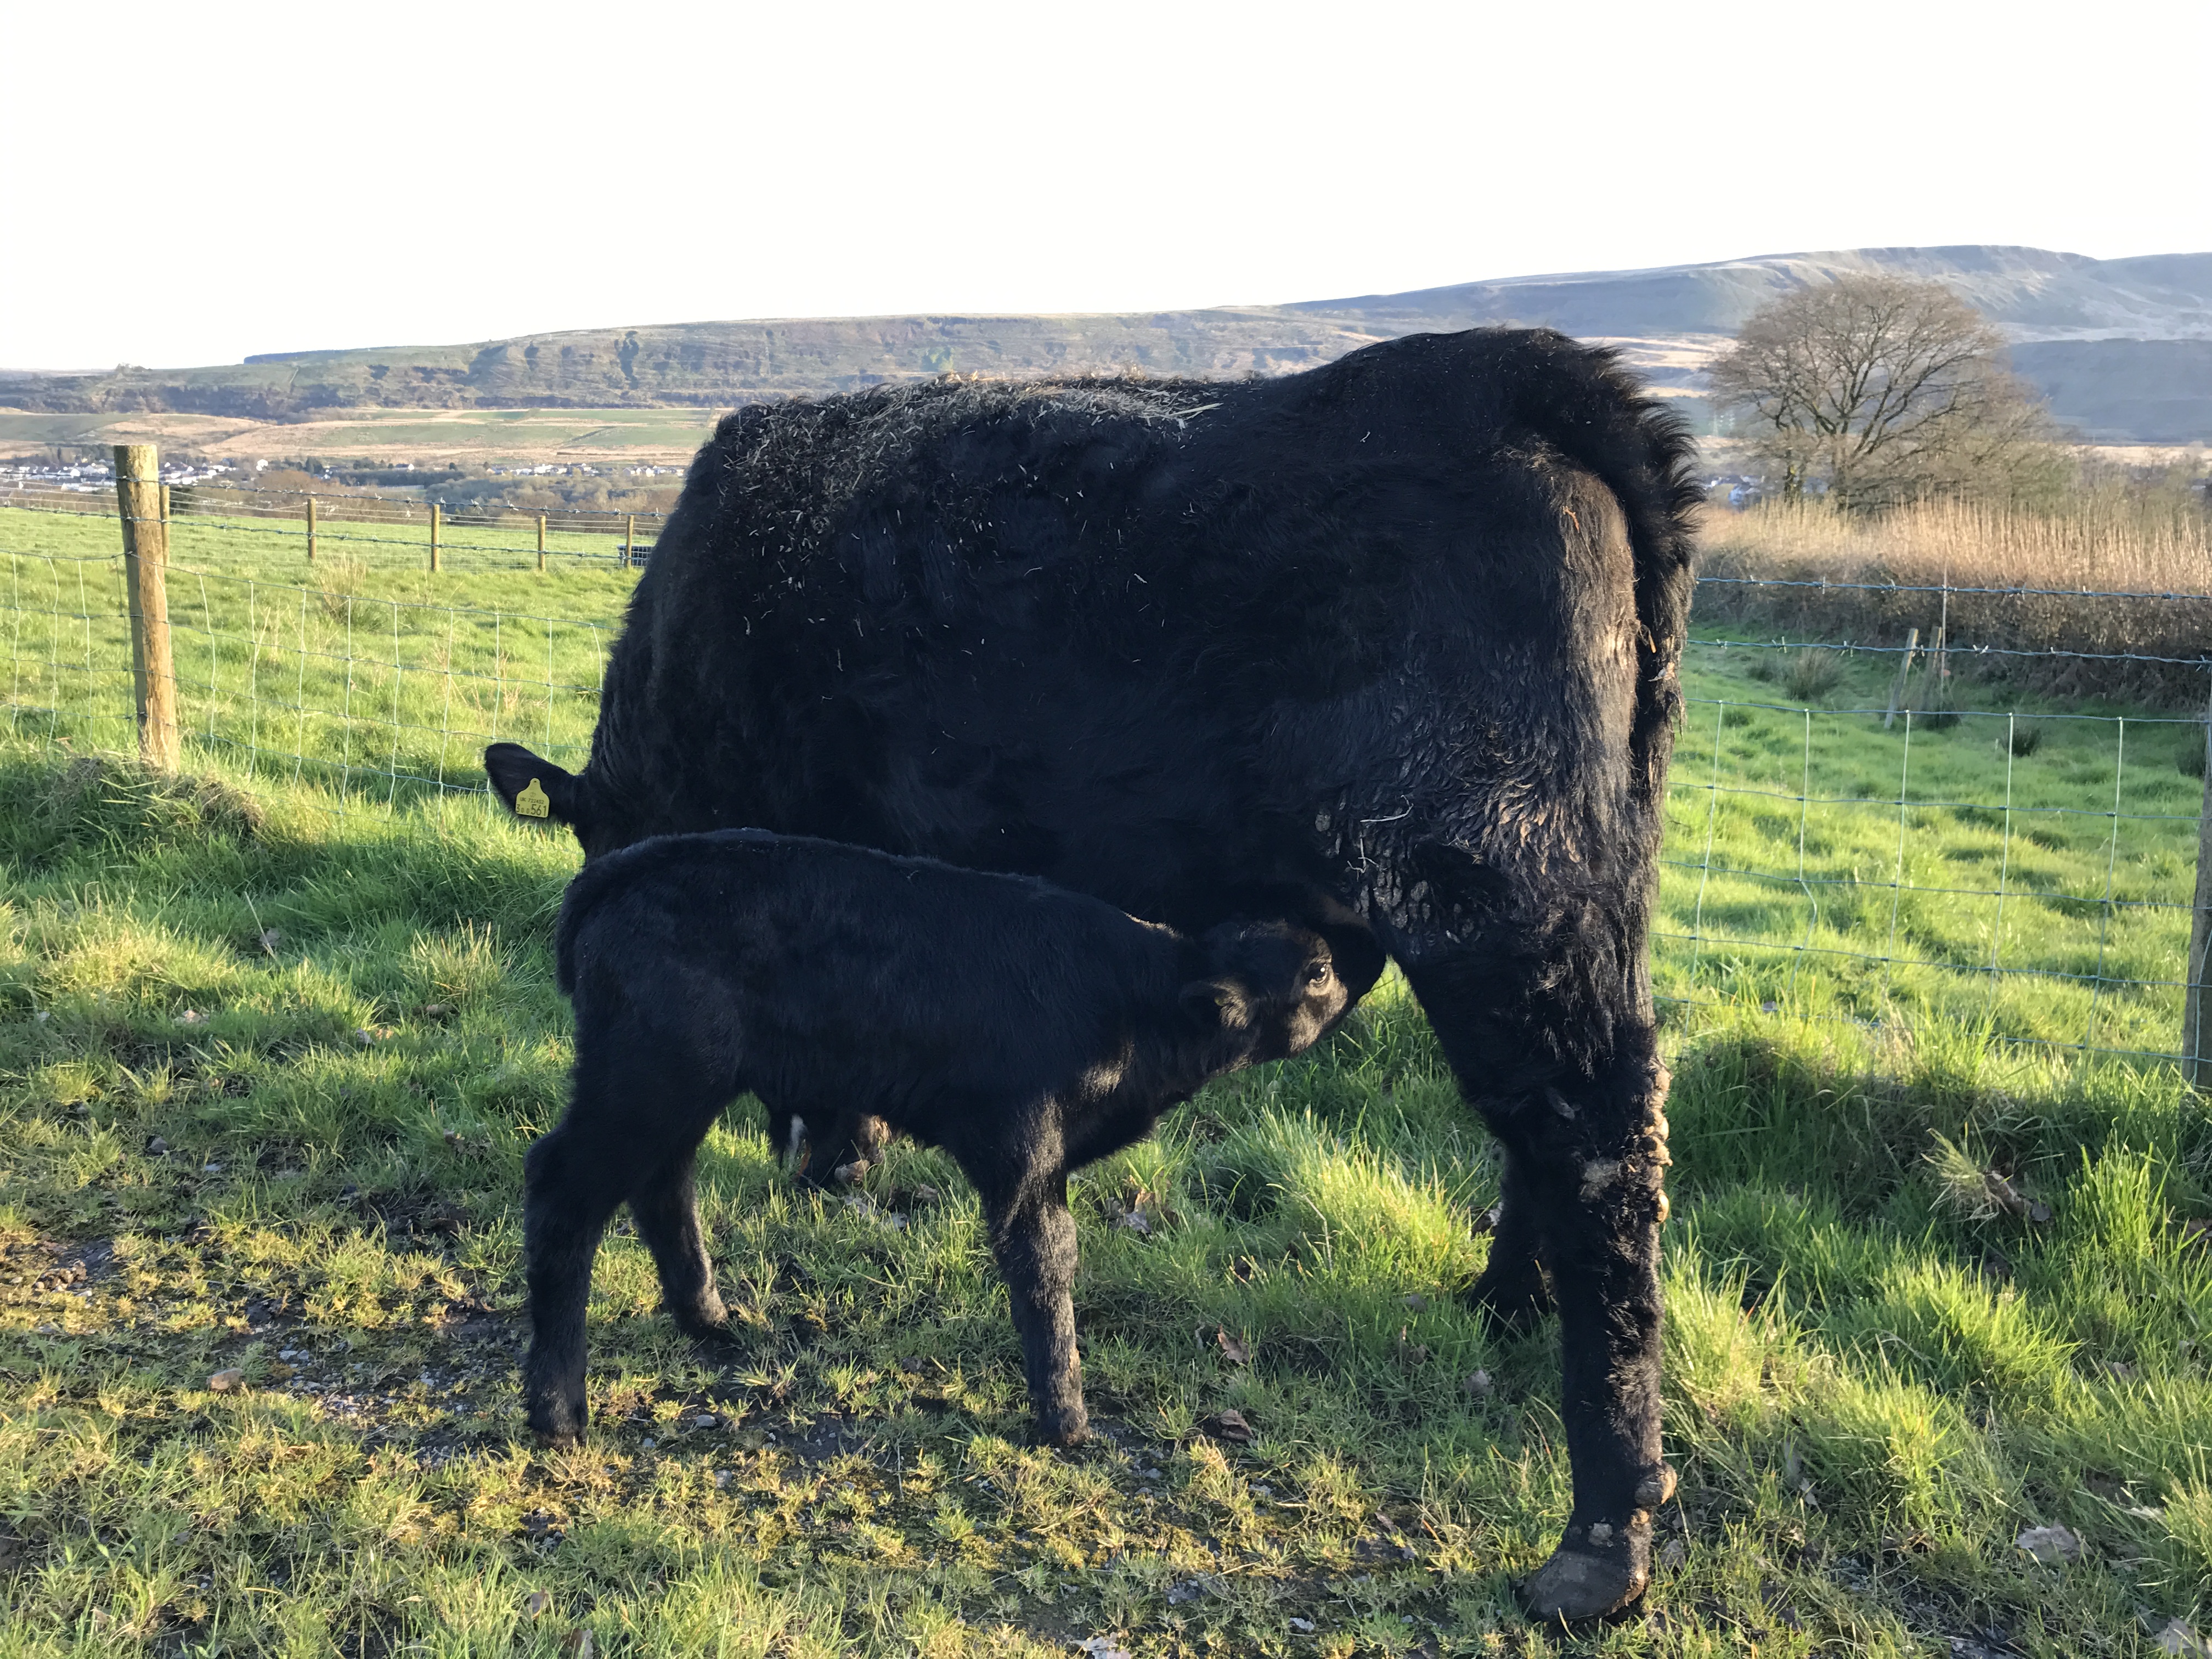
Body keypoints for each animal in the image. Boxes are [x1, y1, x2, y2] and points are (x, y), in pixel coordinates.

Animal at [525, 828, 1350, 1450]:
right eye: (1315, 973)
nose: (1347, 980)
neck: (1135, 998)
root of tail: (626, 867)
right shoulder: (1023, 1151)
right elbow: (1046, 1262)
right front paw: (1067, 1420)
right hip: (645, 1083)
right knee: (564, 1189)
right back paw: (559, 1410)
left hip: (679, 1091)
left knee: (664, 1187)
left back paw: (713, 1321)